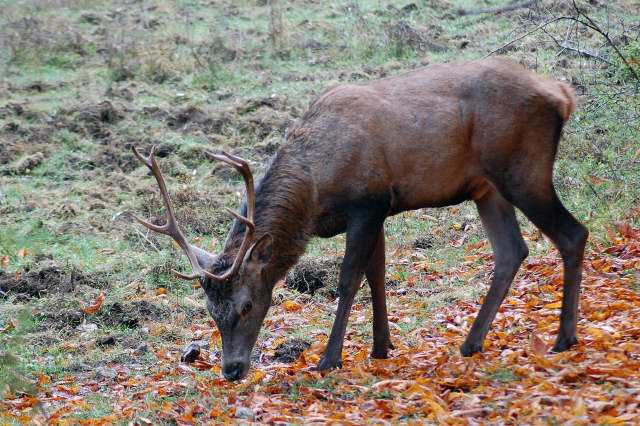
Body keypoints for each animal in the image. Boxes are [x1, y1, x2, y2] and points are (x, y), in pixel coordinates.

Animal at [132, 58, 588, 382]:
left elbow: (350, 278)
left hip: (522, 169)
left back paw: (563, 338)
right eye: (211, 311)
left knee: (572, 233)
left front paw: (329, 358)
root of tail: (562, 94)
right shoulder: (380, 209)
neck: (315, 190)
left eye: (246, 305)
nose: (231, 370)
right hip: (486, 188)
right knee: (511, 250)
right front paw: (381, 347)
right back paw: (471, 343)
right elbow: (378, 274)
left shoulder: (367, 202)